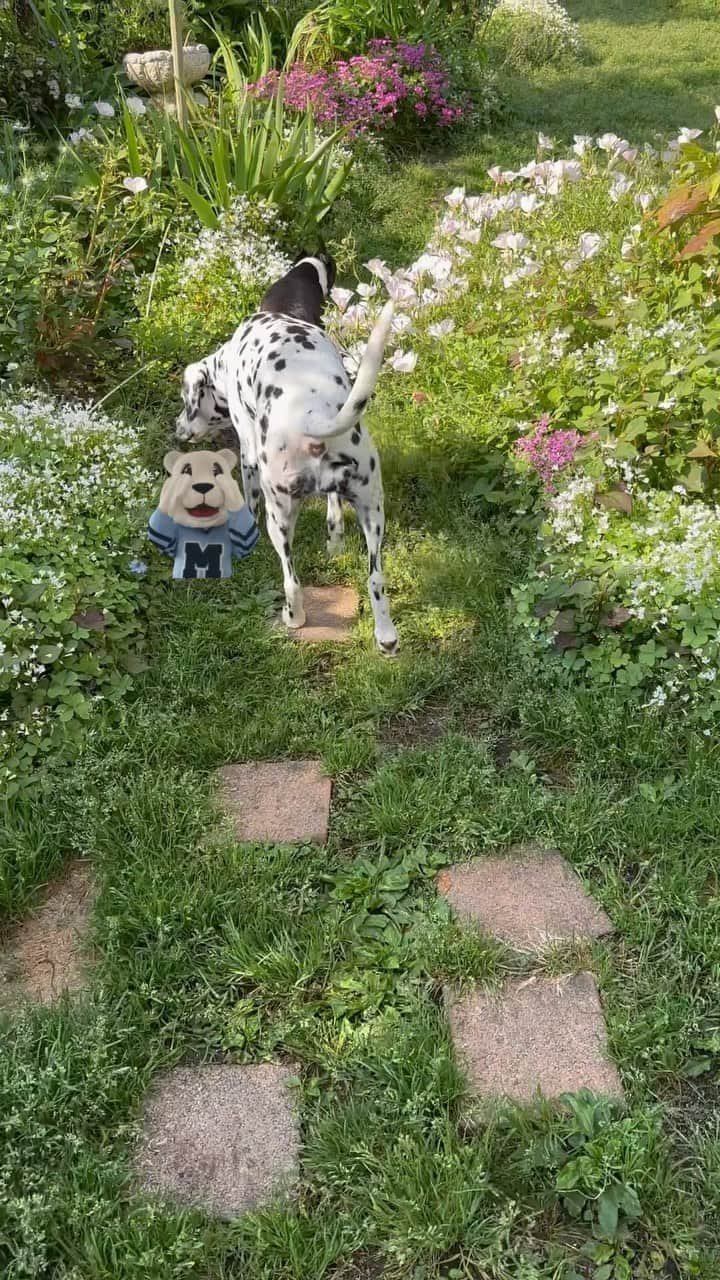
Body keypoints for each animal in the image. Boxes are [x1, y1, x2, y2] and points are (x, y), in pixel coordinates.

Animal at [174, 254, 397, 655]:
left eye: (187, 403)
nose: (177, 427)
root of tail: (312, 413)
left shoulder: (247, 457)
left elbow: (247, 503)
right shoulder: (341, 497)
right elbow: (334, 517)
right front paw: (334, 544)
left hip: (279, 516)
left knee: (292, 580)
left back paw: (294, 618)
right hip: (373, 512)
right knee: (376, 581)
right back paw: (386, 637)